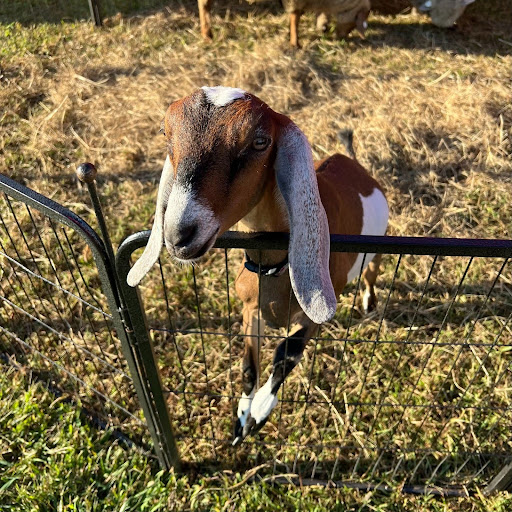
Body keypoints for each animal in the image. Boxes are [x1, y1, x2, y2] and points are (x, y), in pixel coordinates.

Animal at [198, 0, 370, 47]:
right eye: (355, 23)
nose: (342, 38)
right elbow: (295, 17)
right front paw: (295, 43)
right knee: (204, 4)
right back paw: (207, 34)